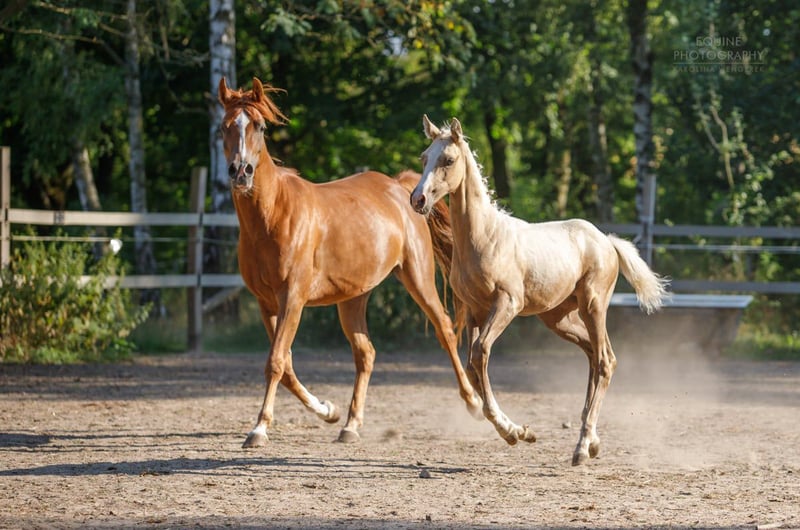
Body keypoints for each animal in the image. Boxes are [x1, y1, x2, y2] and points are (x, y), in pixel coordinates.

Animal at [217, 78, 482, 447]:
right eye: (224, 126)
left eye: (260, 126)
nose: (241, 172)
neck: (271, 217)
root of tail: (399, 187)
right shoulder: (265, 302)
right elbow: (287, 366)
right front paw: (327, 410)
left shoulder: (292, 299)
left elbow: (276, 362)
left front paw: (258, 429)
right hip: (353, 298)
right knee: (365, 353)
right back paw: (350, 425)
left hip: (417, 277)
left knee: (444, 329)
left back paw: (474, 403)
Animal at [410, 115, 669, 465]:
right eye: (424, 157)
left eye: (448, 160)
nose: (418, 200)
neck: (484, 237)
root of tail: (606, 240)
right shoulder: (476, 310)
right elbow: (472, 364)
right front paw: (521, 431)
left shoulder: (507, 304)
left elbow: (480, 353)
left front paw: (513, 432)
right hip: (559, 318)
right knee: (596, 356)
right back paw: (591, 441)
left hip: (593, 306)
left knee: (603, 361)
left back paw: (582, 446)